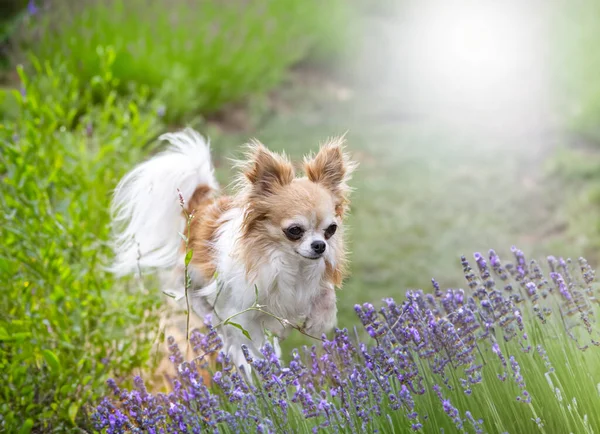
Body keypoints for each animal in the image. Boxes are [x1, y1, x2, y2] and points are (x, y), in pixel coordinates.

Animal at [111, 127, 356, 372]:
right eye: (295, 230)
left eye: (331, 230)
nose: (320, 246)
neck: (288, 260)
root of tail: (199, 206)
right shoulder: (242, 311)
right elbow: (249, 340)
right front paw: (257, 364)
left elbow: (326, 294)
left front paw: (320, 320)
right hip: (191, 275)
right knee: (195, 299)